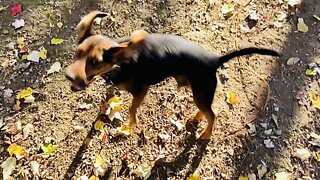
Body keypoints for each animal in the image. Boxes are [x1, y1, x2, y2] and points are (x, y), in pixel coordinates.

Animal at [65, 11, 280, 140]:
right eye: (77, 53)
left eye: (94, 62)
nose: (68, 76)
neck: (119, 62)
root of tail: (215, 60)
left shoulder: (140, 91)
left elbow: (132, 111)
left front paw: (130, 126)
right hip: (199, 94)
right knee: (206, 110)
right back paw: (196, 118)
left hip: (201, 91)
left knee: (212, 115)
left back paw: (206, 134)